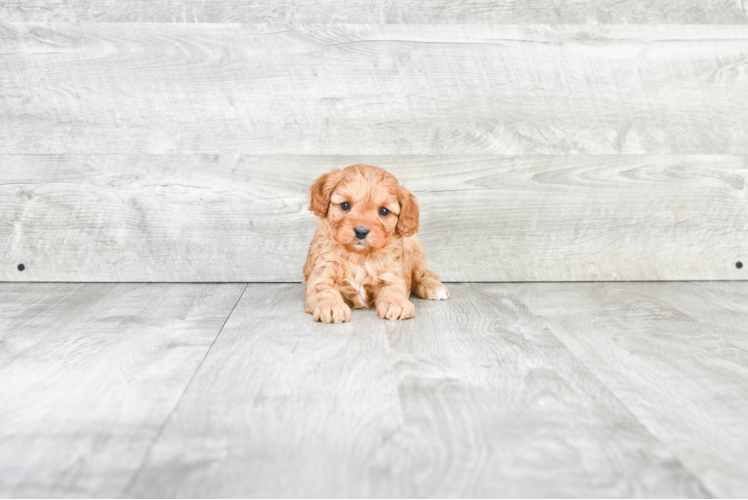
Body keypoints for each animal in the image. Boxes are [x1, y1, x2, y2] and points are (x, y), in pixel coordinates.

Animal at [300, 162, 448, 322]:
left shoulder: (392, 274)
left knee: (424, 275)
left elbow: (393, 289)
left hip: (416, 252)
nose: (361, 231)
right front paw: (331, 306)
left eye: (384, 211)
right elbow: (323, 291)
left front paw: (396, 303)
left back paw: (434, 287)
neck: (359, 256)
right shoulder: (323, 273)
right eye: (345, 205)